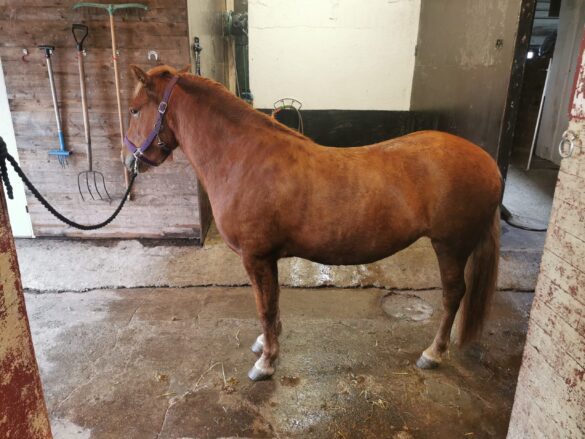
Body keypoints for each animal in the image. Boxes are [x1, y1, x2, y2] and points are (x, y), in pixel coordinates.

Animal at [125, 65, 502, 381]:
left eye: (134, 109)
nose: (131, 162)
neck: (243, 158)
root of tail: (487, 161)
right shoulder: (267, 259)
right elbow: (272, 303)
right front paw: (267, 344)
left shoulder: (255, 257)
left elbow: (264, 307)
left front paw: (266, 363)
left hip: (450, 246)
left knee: (453, 295)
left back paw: (433, 353)